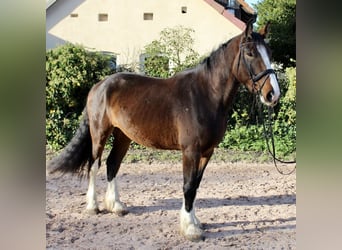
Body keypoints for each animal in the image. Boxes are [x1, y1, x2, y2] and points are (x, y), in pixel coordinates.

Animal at [49, 20, 282, 242]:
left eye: (270, 53)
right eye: (250, 53)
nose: (273, 94)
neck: (206, 94)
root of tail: (99, 85)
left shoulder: (207, 152)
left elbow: (196, 185)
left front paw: (195, 223)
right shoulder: (190, 151)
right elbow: (188, 186)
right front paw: (190, 229)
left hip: (123, 136)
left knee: (112, 164)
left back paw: (116, 206)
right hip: (100, 133)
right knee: (94, 164)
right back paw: (92, 206)